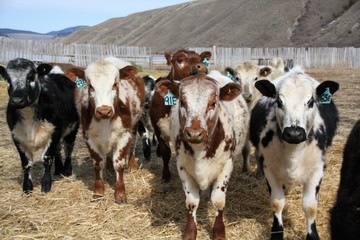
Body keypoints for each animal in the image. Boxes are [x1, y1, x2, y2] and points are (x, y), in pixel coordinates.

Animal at [0, 57, 79, 193]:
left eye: (31, 76)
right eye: (8, 79)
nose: (17, 100)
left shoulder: (54, 131)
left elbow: (47, 158)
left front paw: (46, 184)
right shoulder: (17, 136)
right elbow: (26, 163)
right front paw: (27, 187)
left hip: (72, 129)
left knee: (68, 148)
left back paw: (67, 170)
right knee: (58, 150)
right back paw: (58, 170)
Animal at [65, 57, 144, 203]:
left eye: (115, 84)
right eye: (90, 85)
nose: (104, 111)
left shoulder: (124, 135)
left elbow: (119, 164)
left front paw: (120, 193)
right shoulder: (88, 137)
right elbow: (98, 163)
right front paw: (98, 191)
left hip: (135, 126)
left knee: (133, 146)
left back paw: (132, 165)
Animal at [148, 49, 211, 182]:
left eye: (201, 59)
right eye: (180, 59)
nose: (201, 66)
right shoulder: (159, 130)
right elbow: (166, 153)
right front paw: (165, 175)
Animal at [155, 71, 250, 240]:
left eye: (213, 103)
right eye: (182, 102)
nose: (194, 133)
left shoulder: (227, 165)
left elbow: (218, 201)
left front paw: (219, 231)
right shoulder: (182, 167)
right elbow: (192, 202)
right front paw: (190, 231)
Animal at [249, 66, 338, 240]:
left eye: (310, 102)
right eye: (279, 102)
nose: (294, 133)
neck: (293, 154)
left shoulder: (318, 169)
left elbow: (310, 206)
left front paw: (312, 235)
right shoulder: (269, 168)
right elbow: (277, 202)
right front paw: (277, 233)